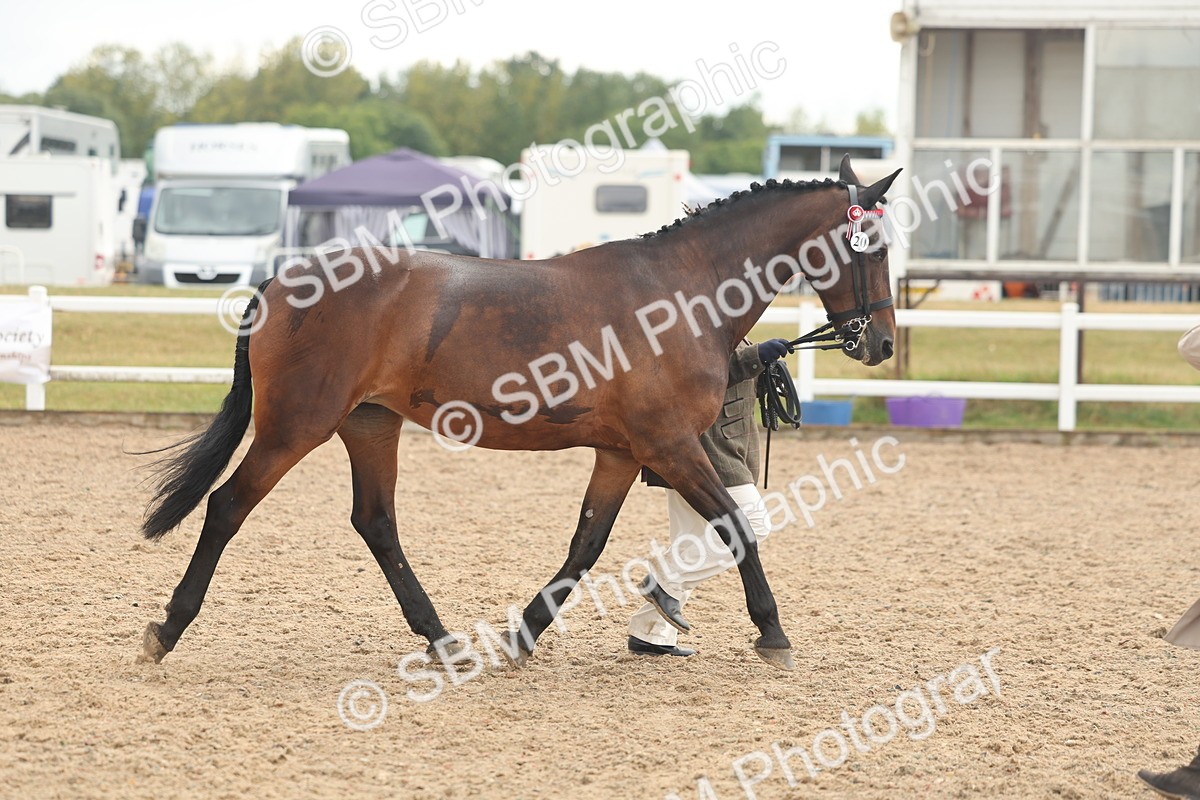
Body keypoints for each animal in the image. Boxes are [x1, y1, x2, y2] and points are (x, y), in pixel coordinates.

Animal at [135, 155, 900, 672]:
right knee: (227, 507)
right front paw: (773, 633)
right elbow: (735, 526)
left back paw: (442, 639)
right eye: (874, 248)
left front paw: (524, 633)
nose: (883, 343)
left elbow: (586, 545)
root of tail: (282, 278)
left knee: (376, 522)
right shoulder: (670, 445)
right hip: (297, 426)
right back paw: (164, 632)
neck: (683, 292)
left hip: (371, 423)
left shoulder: (624, 452)